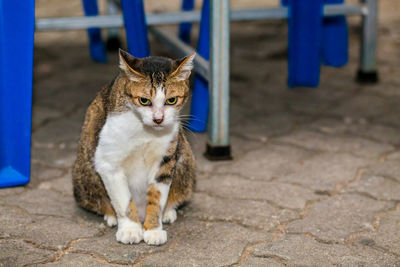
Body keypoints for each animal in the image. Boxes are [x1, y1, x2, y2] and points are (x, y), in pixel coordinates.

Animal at [73, 49, 197, 246]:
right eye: (144, 100)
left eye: (171, 100)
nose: (158, 119)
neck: (145, 130)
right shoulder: (109, 163)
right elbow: (123, 199)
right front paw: (130, 229)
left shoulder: (165, 160)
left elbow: (157, 196)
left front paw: (153, 229)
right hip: (84, 172)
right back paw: (112, 216)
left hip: (185, 159)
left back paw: (168, 212)